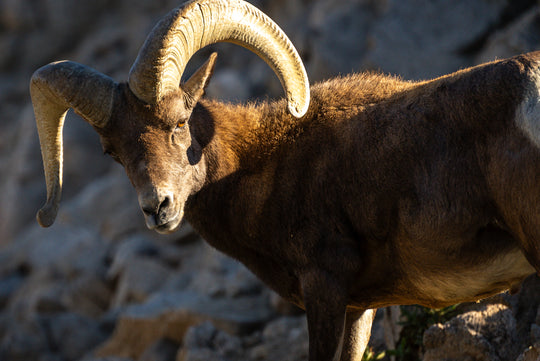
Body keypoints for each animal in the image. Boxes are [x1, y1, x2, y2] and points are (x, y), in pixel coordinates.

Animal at [30, 0, 540, 358]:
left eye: (179, 122)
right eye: (112, 152)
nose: (158, 208)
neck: (265, 164)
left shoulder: (325, 287)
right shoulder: (359, 306)